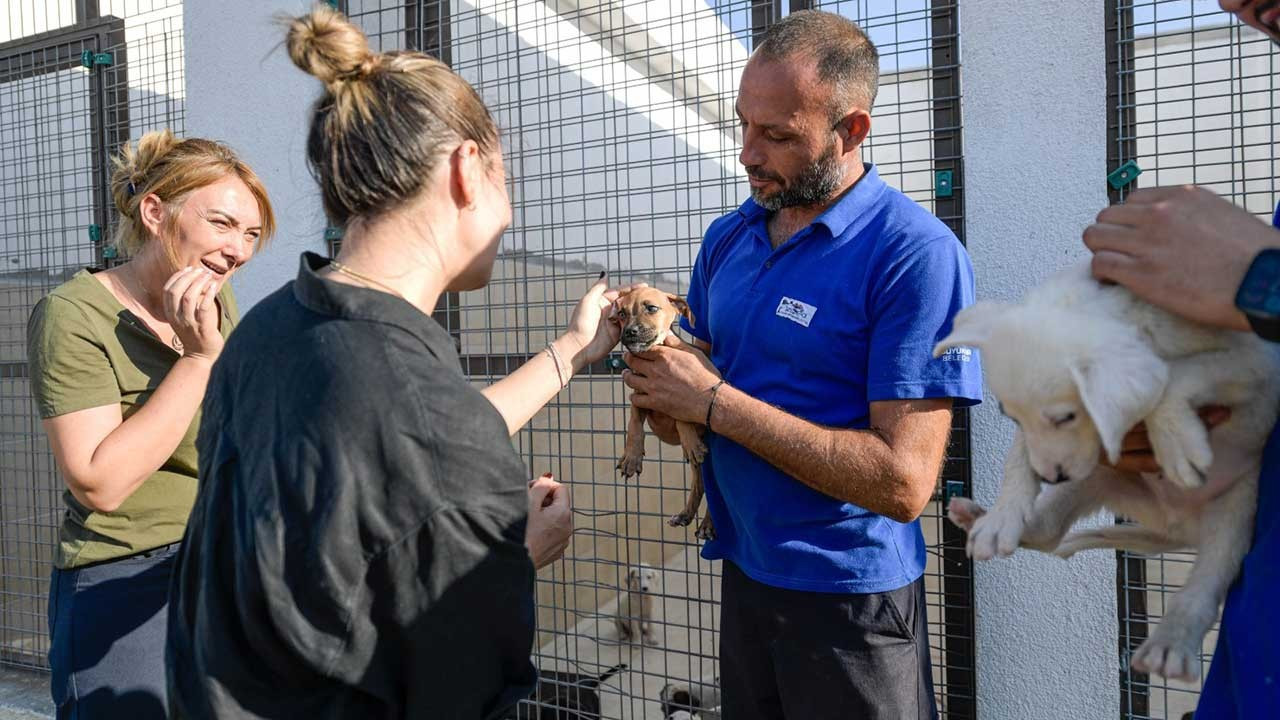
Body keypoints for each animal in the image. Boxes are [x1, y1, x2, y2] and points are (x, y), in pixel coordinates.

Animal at [614, 285, 716, 538]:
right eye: (621, 313)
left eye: (651, 308)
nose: (629, 332)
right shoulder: (639, 395)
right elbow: (634, 423)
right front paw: (631, 456)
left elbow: (681, 416)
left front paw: (689, 440)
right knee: (700, 484)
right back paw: (686, 514)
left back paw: (708, 524)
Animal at [931, 257, 1280, 676]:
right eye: (1010, 417)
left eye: (1066, 417)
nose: (1050, 477)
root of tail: (1177, 528)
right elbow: (1019, 458)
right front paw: (1003, 516)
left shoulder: (1258, 362)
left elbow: (1177, 376)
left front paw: (1177, 441)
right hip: (1096, 477)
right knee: (1049, 532)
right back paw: (979, 517)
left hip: (1237, 509)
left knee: (1206, 581)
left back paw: (1171, 642)